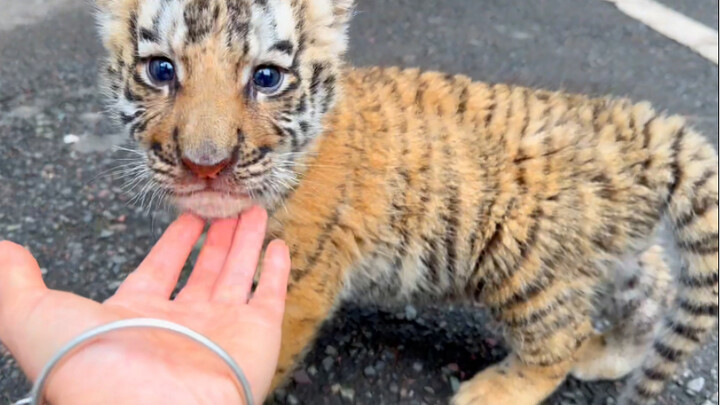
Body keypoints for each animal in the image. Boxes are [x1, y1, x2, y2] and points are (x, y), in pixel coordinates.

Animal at [94, 0, 719, 403]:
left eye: (266, 78)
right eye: (161, 70)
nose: (206, 165)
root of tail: (635, 125)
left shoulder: (300, 282)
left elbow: (269, 350)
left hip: (526, 267)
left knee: (558, 343)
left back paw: (491, 393)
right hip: (612, 251)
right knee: (656, 287)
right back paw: (611, 355)